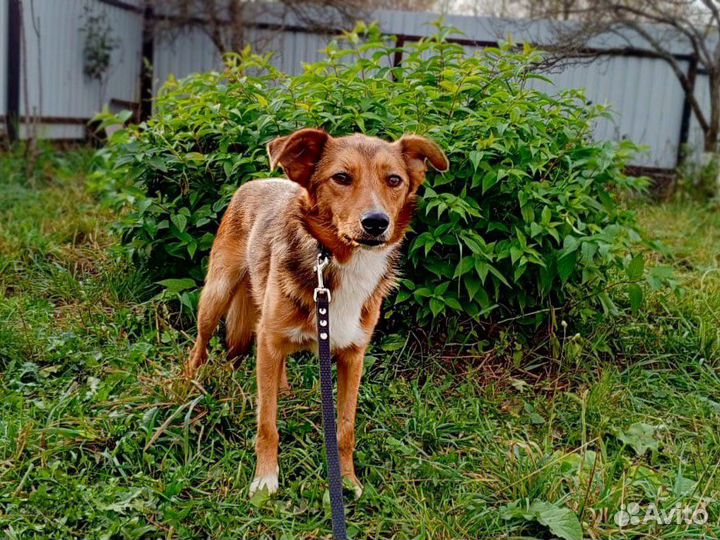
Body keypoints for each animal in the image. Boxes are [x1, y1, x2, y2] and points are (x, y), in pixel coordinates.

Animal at [184, 129, 444, 496]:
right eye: (342, 178)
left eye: (394, 180)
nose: (376, 223)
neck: (339, 261)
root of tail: (255, 182)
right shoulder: (270, 339)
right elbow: (267, 423)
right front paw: (265, 480)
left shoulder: (353, 355)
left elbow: (345, 428)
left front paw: (347, 482)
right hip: (217, 295)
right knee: (201, 344)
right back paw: (187, 383)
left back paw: (283, 390)